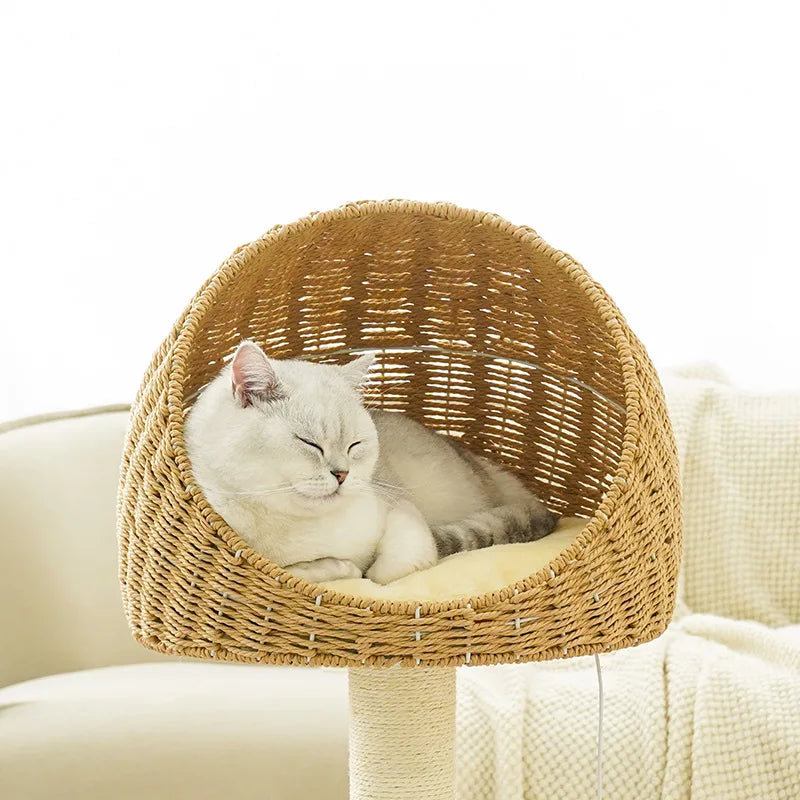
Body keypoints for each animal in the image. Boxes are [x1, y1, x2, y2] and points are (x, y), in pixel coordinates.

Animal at [184, 340, 560, 584]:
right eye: (310, 444)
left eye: (355, 445)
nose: (342, 474)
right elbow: (300, 570)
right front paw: (335, 568)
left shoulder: (402, 511)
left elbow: (386, 572)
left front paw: (356, 570)